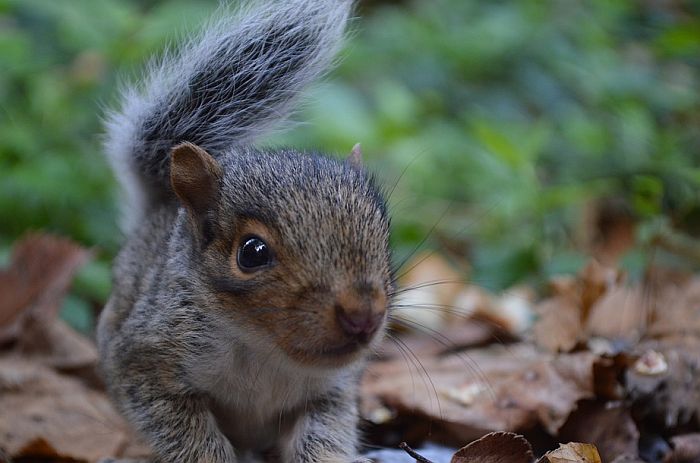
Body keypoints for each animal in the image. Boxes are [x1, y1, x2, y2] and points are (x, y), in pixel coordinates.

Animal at [97, 0, 394, 463]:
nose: (365, 315)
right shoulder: (145, 364)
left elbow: (325, 434)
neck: (264, 350)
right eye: (252, 252)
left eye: (384, 236)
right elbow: (186, 433)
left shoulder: (332, 391)